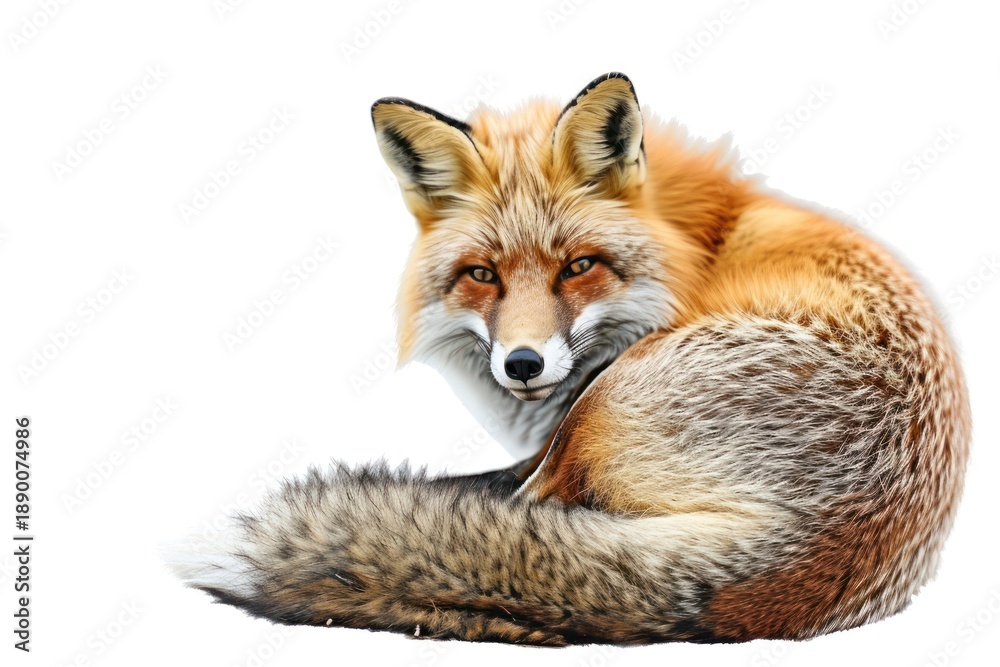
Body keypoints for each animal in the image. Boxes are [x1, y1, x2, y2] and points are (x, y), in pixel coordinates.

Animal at [168, 73, 970, 645]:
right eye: (482, 274)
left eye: (578, 266)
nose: (522, 363)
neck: (698, 244)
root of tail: (814, 550)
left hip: (600, 408)